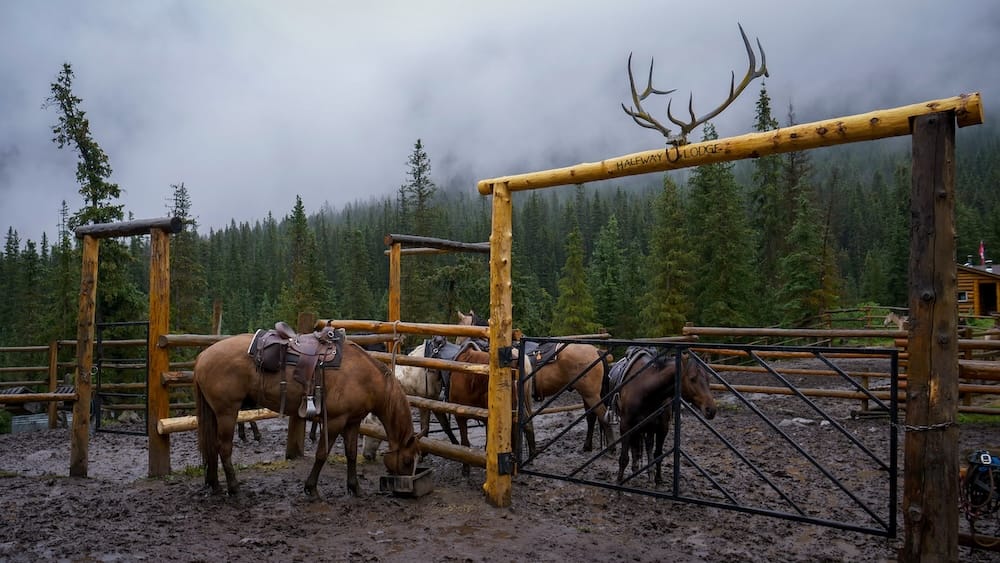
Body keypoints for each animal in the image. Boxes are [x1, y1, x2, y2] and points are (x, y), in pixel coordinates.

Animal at [193, 331, 419, 497]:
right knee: (224, 448)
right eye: (408, 461)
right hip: (227, 412)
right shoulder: (335, 421)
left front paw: (355, 487)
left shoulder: (352, 422)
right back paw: (234, 487)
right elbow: (322, 454)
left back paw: (215, 485)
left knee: (212, 446)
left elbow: (352, 454)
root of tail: (202, 356)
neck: (365, 378)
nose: (404, 489)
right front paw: (311, 488)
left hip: (216, 413)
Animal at [610, 347, 717, 485]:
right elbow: (623, 457)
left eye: (708, 379)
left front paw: (658, 478)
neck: (645, 389)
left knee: (645, 446)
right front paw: (619, 481)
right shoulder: (625, 425)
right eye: (692, 378)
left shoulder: (662, 428)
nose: (711, 410)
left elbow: (658, 454)